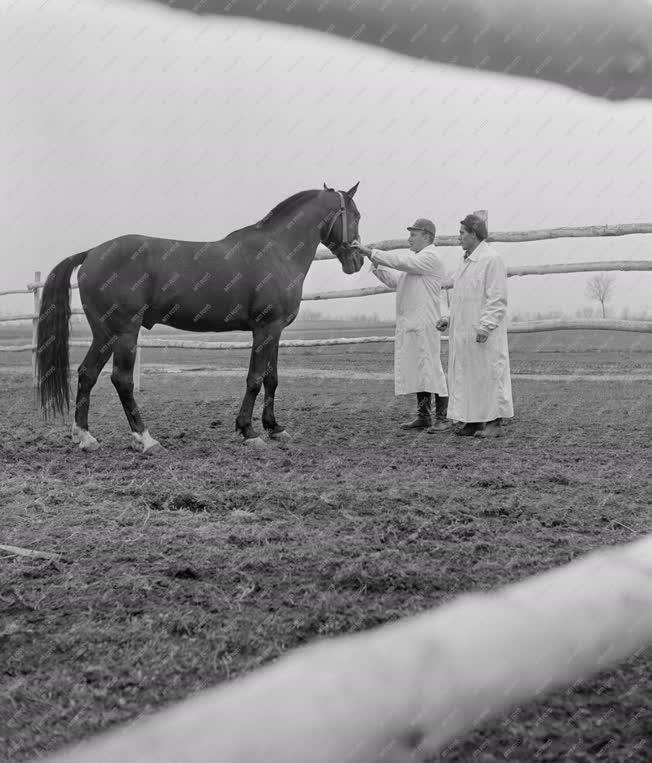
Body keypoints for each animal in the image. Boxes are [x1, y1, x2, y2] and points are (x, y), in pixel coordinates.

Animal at [35, 185, 364, 454]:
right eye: (357, 215)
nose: (357, 261)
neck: (277, 251)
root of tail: (92, 253)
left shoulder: (276, 330)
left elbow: (272, 379)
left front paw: (275, 428)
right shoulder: (265, 328)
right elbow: (255, 379)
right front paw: (249, 431)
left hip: (105, 334)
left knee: (87, 374)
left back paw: (85, 437)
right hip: (125, 332)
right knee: (122, 380)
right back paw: (146, 439)